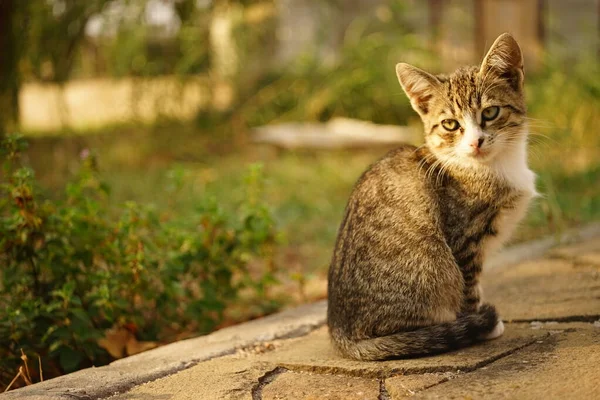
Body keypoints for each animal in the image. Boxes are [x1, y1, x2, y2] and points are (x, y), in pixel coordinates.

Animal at [326, 32, 536, 360]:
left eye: (490, 113)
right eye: (450, 124)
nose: (475, 142)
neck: (494, 166)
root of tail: (340, 333)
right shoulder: (464, 242)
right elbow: (469, 289)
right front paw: (481, 324)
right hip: (433, 268)